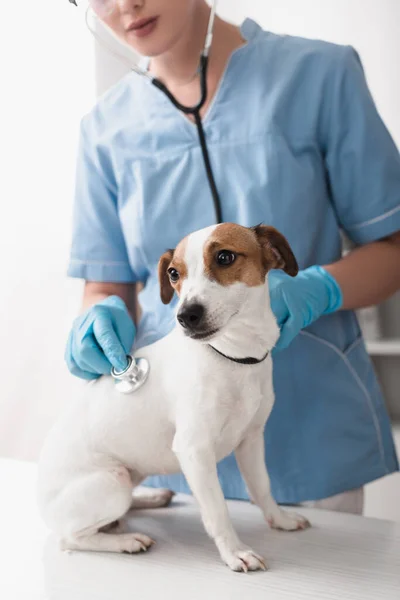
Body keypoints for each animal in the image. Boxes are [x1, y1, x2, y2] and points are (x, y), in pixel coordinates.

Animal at [37, 221, 310, 572]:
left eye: (224, 257)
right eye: (173, 273)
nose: (186, 315)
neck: (233, 357)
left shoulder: (251, 440)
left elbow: (262, 488)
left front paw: (280, 519)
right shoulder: (195, 451)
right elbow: (218, 510)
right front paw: (235, 552)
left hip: (133, 473)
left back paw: (151, 499)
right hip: (112, 483)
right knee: (70, 538)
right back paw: (126, 540)